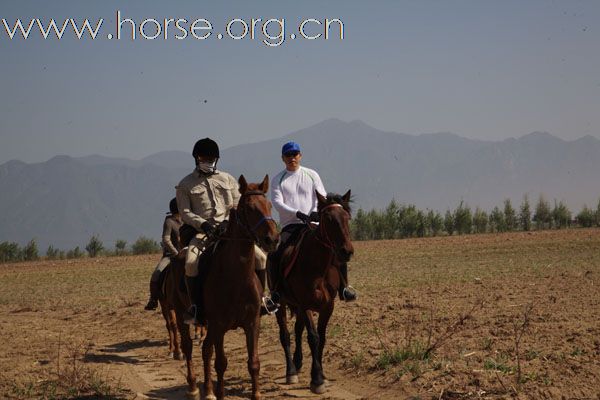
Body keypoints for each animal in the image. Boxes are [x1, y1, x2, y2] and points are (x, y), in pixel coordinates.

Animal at [274, 190, 354, 394]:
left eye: (347, 217)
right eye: (328, 219)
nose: (346, 251)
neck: (317, 267)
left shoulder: (328, 306)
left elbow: (322, 338)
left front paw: (322, 376)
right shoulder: (305, 304)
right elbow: (313, 337)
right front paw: (316, 379)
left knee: (297, 330)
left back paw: (298, 362)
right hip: (281, 304)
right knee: (285, 335)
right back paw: (291, 371)